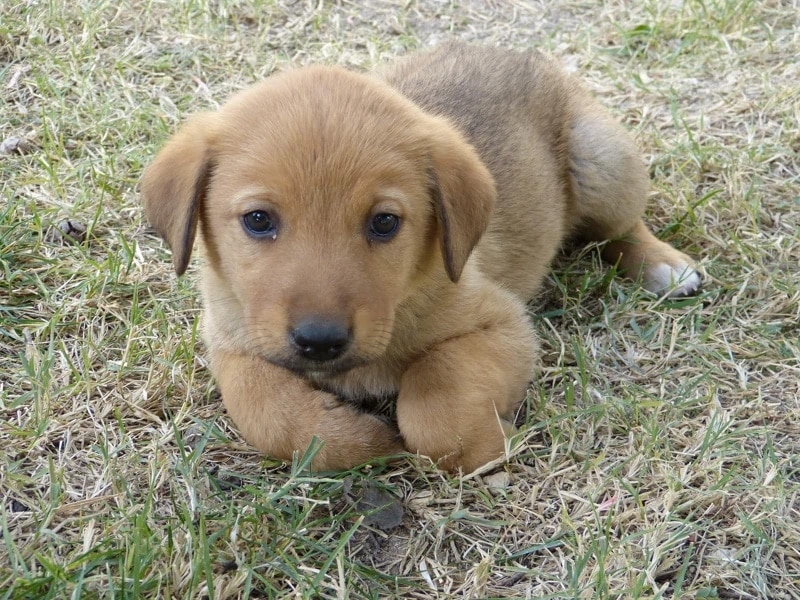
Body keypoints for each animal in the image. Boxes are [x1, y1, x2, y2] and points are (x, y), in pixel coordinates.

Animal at [142, 42, 700, 474]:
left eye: (385, 223)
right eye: (258, 220)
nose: (320, 342)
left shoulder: (501, 326)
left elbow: (437, 410)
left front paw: (491, 446)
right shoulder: (229, 340)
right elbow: (266, 413)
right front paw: (356, 440)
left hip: (601, 161)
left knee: (623, 226)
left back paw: (665, 266)